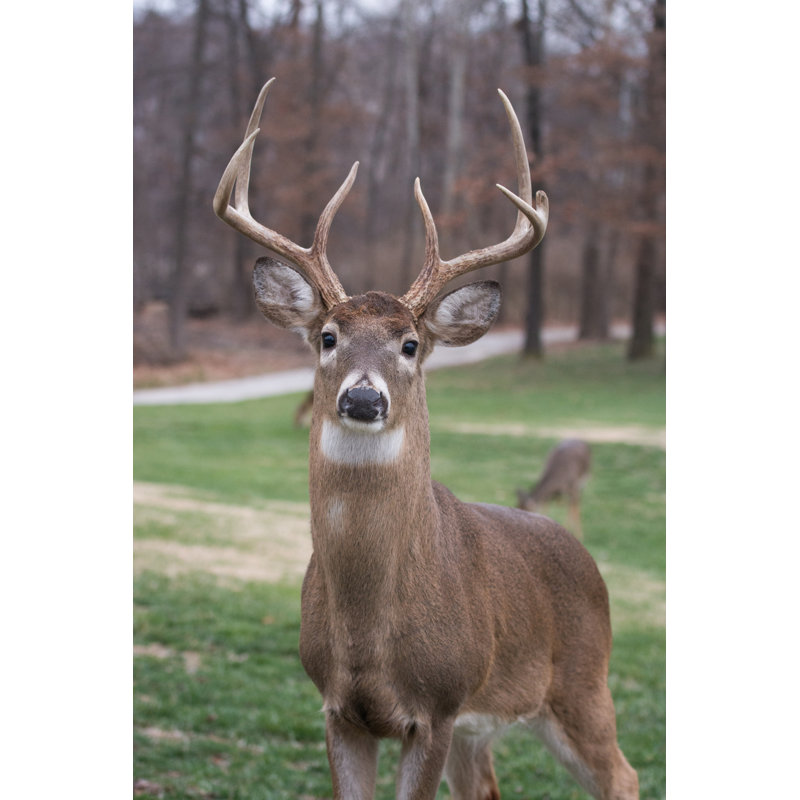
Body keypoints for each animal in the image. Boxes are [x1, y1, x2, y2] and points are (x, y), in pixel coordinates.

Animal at [213, 78, 638, 800]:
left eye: (410, 344)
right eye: (328, 337)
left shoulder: (437, 707)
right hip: (484, 727)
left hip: (584, 686)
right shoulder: (338, 711)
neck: (368, 633)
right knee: (490, 788)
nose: (362, 397)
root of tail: (585, 558)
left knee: (624, 775)